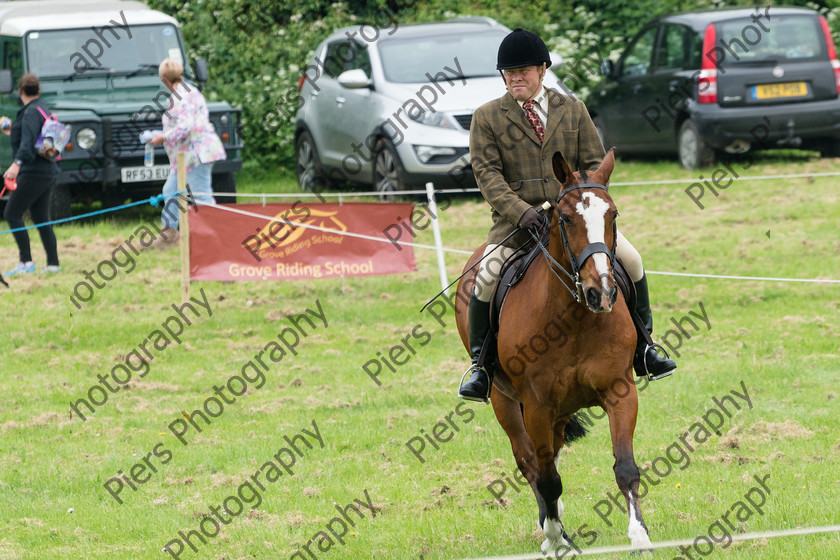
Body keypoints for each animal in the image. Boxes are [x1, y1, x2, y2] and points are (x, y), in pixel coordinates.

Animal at [452, 151, 656, 552]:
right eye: (565, 218)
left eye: (613, 215)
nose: (602, 292)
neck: (573, 318)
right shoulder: (536, 405)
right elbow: (544, 475)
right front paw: (554, 538)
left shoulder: (619, 390)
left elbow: (625, 466)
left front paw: (639, 536)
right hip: (506, 402)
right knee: (530, 462)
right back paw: (553, 528)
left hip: (561, 411)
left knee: (554, 454)